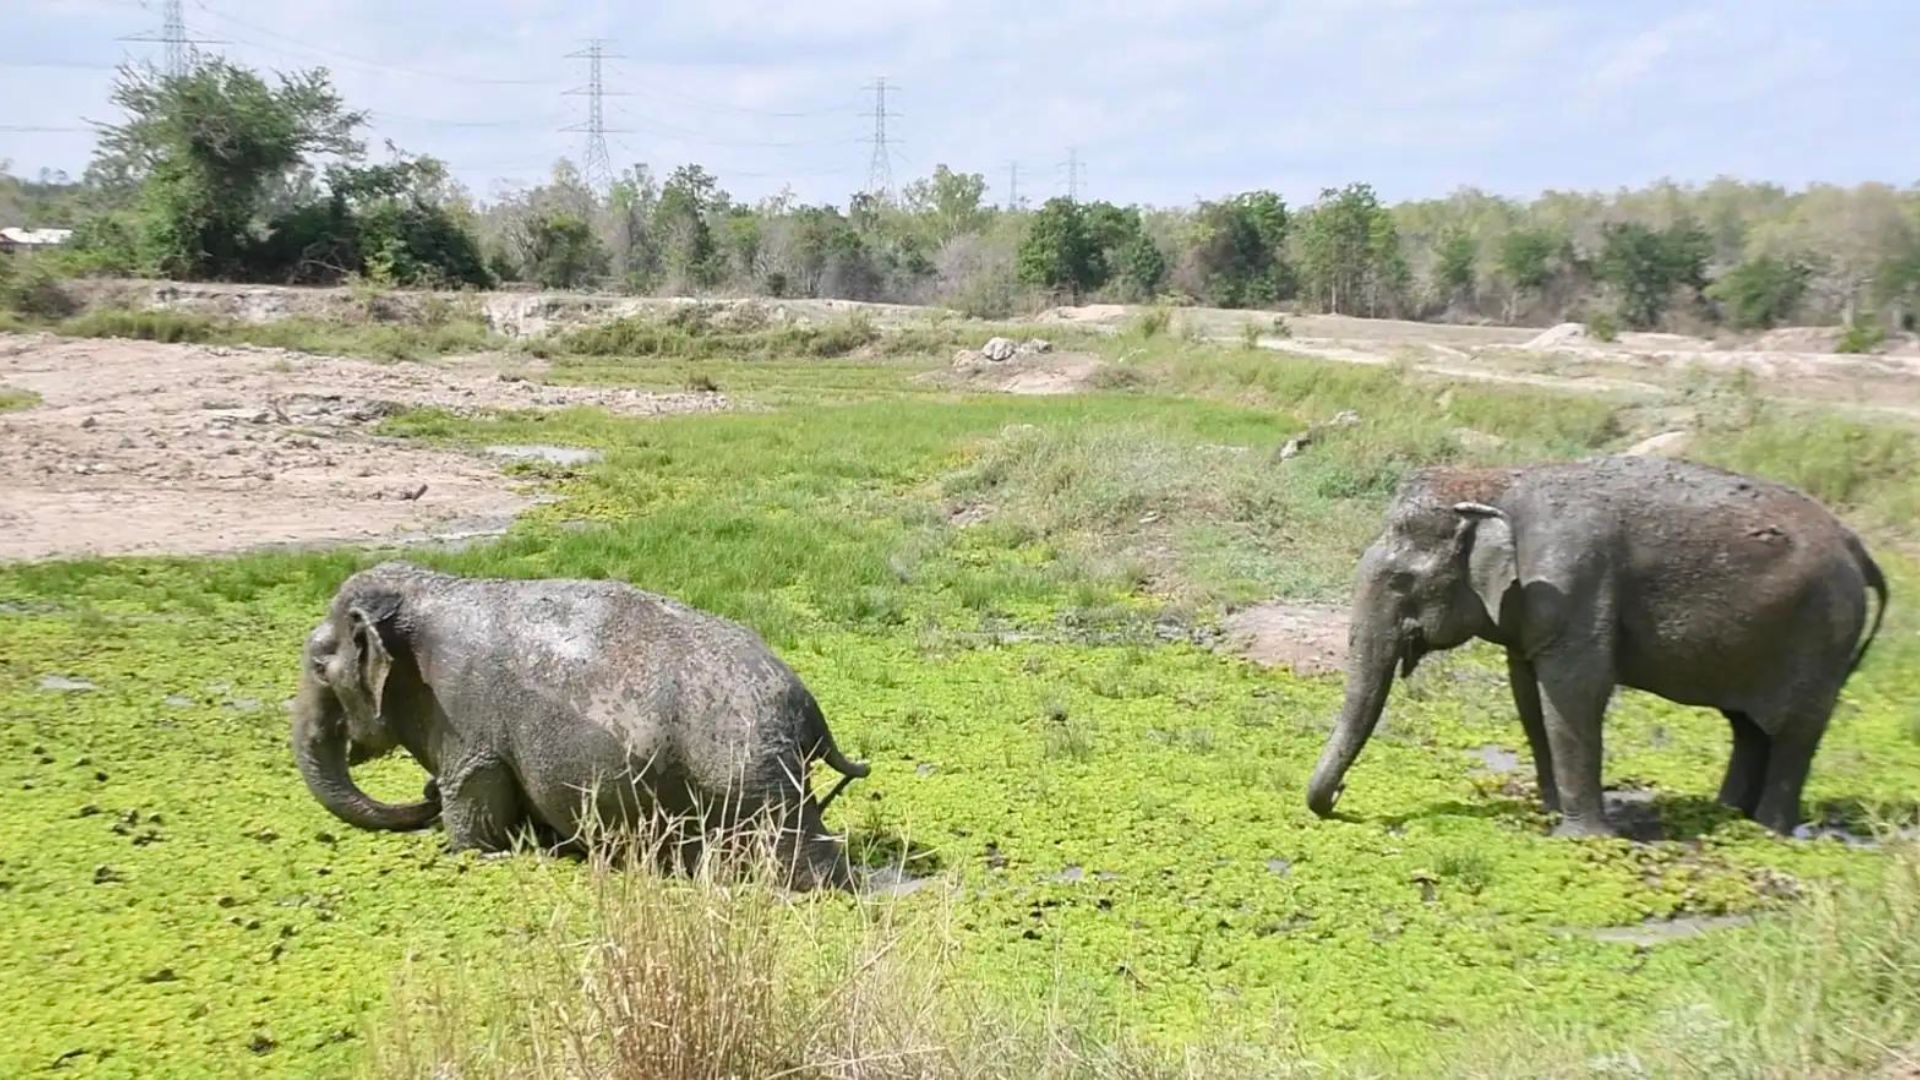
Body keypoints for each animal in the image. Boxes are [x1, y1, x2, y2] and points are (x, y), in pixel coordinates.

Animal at [289, 557, 871, 887]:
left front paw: (468, 848)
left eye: (318, 665)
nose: (425, 794)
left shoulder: (463, 719)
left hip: (753, 776)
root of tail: (807, 707)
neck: (425, 592)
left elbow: (473, 809)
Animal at [1305, 453, 1889, 834]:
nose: (1341, 796)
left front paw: (1581, 835)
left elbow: (1573, 693)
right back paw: (1727, 815)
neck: (1498, 480)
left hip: (1821, 636)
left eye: (1401, 582)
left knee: (1793, 732)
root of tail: (1856, 545)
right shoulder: (1532, 610)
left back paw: (1768, 829)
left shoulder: (1574, 584)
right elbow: (1528, 696)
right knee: (1748, 727)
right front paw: (1550, 813)